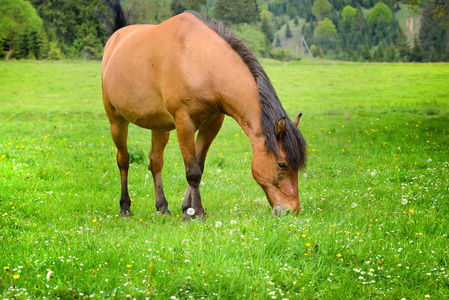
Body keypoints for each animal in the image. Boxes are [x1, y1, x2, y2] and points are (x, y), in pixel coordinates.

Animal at [101, 10, 304, 219]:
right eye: (282, 165)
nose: (292, 210)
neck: (201, 63)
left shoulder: (212, 124)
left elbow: (199, 166)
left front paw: (188, 209)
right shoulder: (184, 123)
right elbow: (192, 171)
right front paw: (196, 214)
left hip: (159, 126)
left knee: (156, 162)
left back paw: (163, 207)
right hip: (116, 120)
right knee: (123, 160)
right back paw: (125, 207)